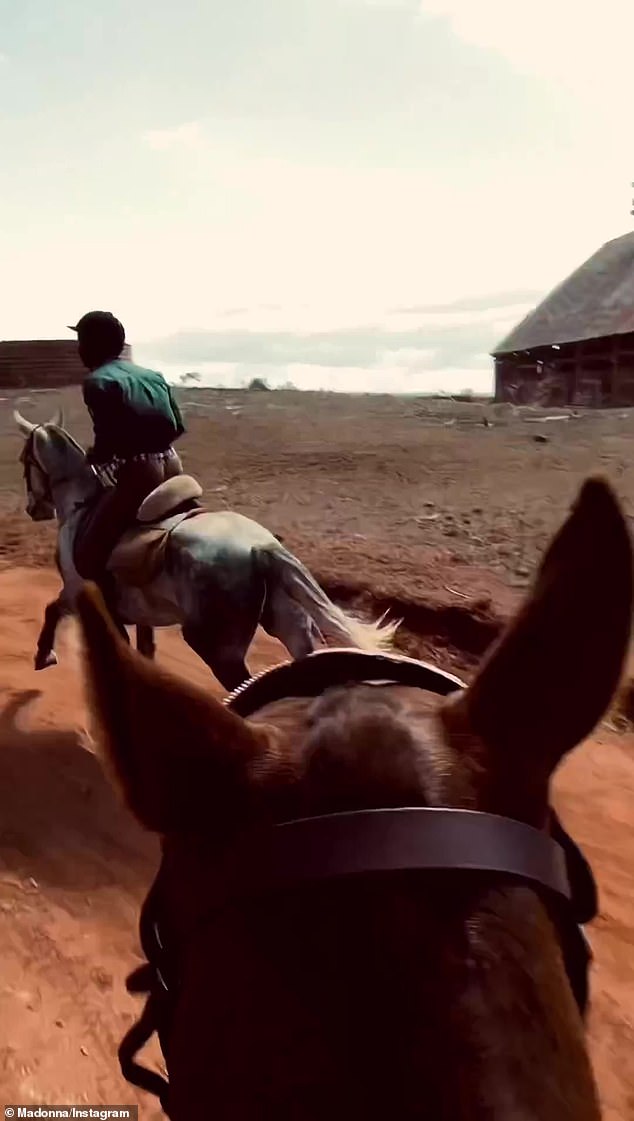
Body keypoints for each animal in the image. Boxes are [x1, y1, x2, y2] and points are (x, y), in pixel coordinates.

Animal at [14, 412, 398, 686]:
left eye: (23, 459)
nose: (34, 509)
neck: (81, 505)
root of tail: (260, 547)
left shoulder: (76, 590)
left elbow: (52, 610)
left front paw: (44, 656)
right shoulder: (137, 615)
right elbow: (144, 648)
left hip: (217, 648)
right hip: (289, 626)